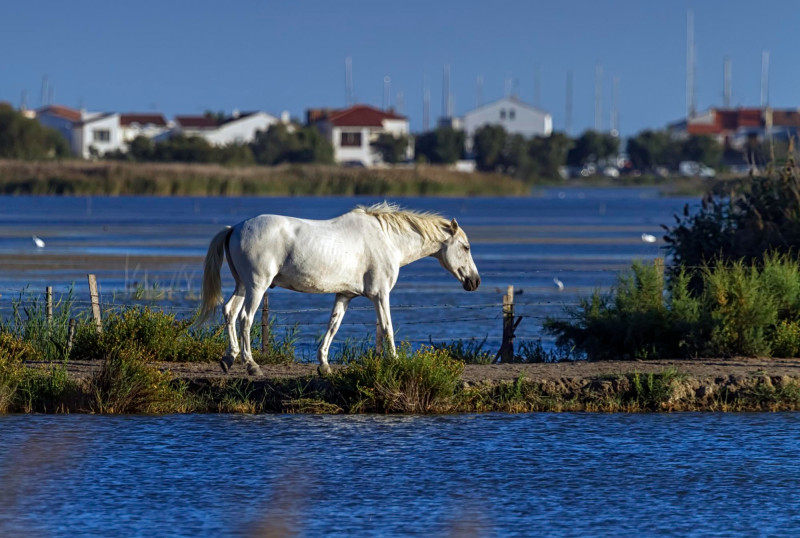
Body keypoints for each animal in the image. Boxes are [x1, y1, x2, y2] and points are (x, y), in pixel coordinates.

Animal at [198, 202, 481, 376]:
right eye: (466, 247)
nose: (475, 281)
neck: (387, 240)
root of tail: (234, 228)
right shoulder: (381, 294)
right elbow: (387, 327)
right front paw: (395, 361)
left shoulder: (345, 295)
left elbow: (333, 326)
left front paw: (324, 365)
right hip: (257, 286)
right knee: (245, 318)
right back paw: (251, 365)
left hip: (243, 285)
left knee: (229, 312)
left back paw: (229, 358)